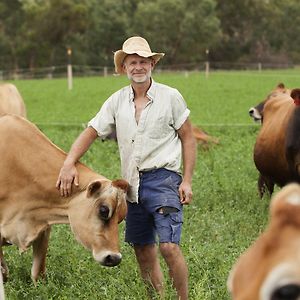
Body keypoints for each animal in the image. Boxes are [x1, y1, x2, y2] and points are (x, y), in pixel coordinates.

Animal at [0, 113, 127, 282]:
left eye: (121, 218)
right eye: (103, 210)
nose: (115, 258)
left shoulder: (43, 228)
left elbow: (38, 273)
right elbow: (3, 272)